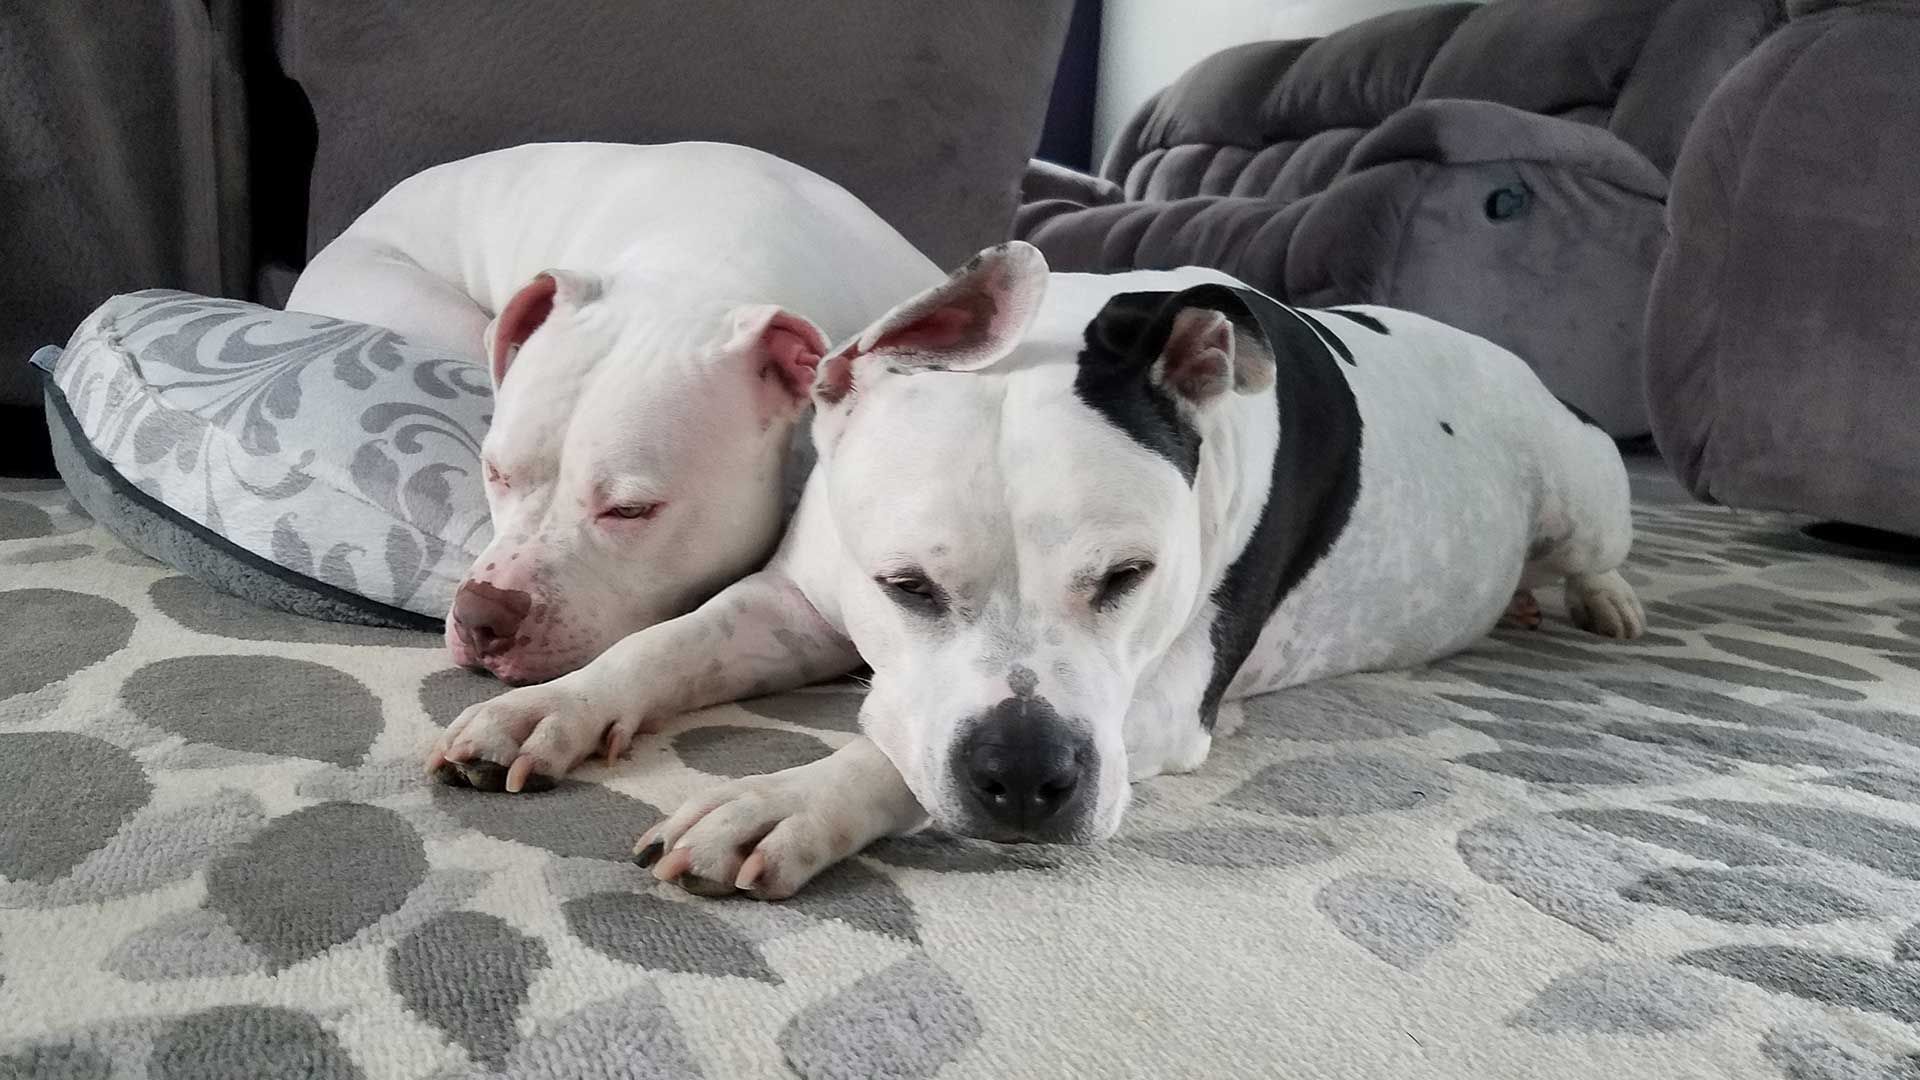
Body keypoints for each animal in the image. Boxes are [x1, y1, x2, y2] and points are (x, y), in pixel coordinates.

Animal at [428, 239, 1643, 895]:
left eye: (1127, 577)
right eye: (906, 588)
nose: (1023, 779)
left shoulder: (1161, 702)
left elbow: (893, 752)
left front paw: (787, 799)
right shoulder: (793, 604)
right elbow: (668, 641)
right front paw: (551, 706)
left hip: (1583, 490)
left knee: (1596, 547)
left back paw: (1604, 601)